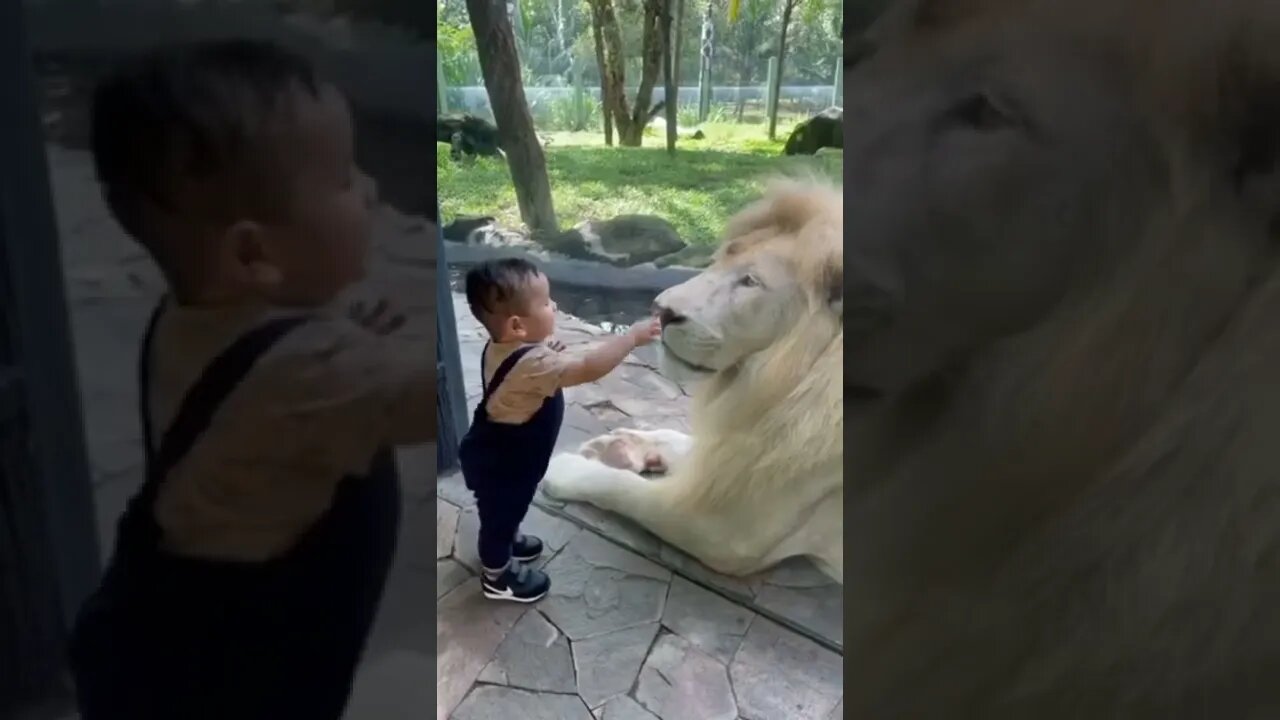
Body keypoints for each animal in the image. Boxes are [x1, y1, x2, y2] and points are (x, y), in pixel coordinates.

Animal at [545, 179, 844, 584]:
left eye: (750, 281)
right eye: (721, 258)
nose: (661, 310)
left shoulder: (723, 533)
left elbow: (623, 489)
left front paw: (563, 469)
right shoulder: (744, 448)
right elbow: (685, 443)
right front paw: (621, 446)